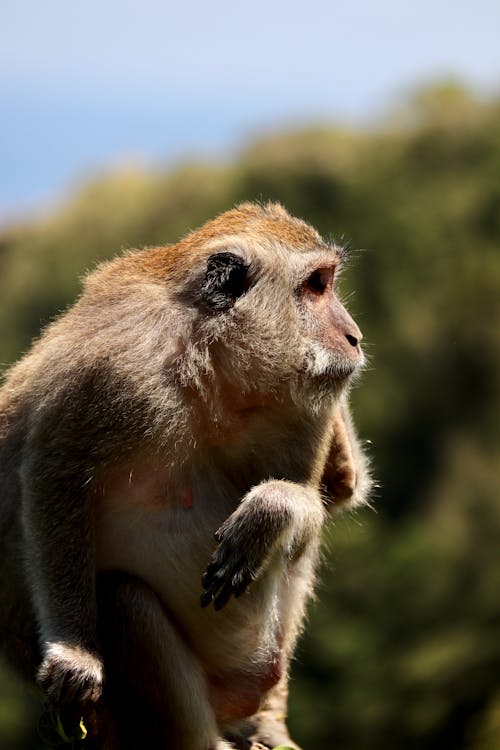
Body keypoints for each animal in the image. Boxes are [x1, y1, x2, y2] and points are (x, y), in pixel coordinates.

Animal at [0, 203, 368, 748]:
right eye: (316, 286)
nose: (354, 338)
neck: (211, 364)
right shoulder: (113, 370)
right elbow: (54, 471)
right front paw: (74, 653)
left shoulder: (309, 404)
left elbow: (317, 500)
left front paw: (270, 510)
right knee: (122, 601)